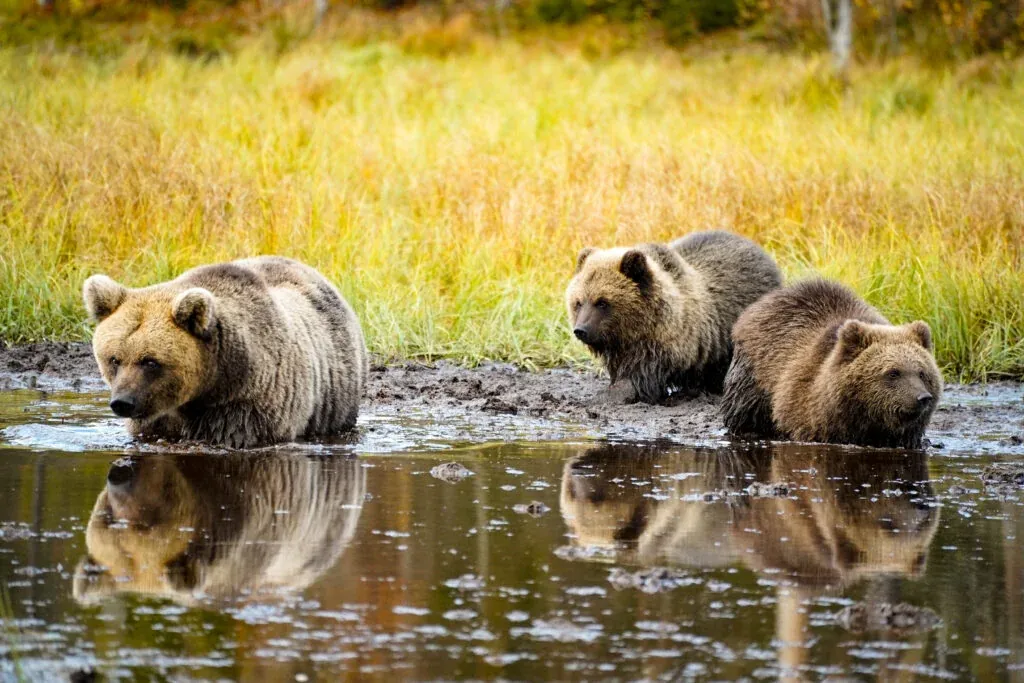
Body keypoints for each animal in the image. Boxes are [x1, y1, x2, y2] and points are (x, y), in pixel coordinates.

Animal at [83, 256, 368, 448]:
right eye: (114, 359)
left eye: (150, 361)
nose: (122, 402)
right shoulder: (153, 418)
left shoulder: (245, 407)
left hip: (336, 392)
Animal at [721, 279, 942, 449]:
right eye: (893, 372)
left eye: (922, 373)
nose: (922, 397)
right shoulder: (809, 410)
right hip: (753, 374)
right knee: (744, 410)